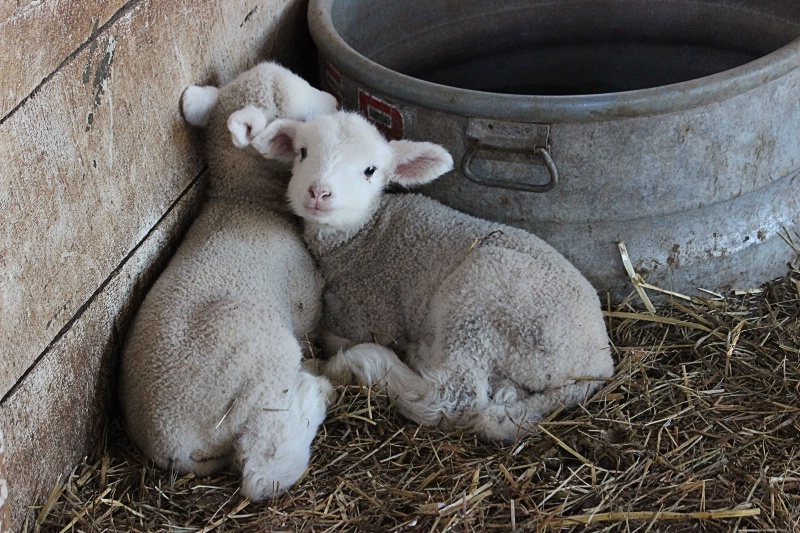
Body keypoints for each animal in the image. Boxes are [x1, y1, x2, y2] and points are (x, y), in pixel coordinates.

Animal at [119, 62, 338, 498]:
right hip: (261, 378)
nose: (337, 102)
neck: (244, 200)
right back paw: (317, 391)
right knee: (265, 468)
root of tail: (174, 443)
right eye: (304, 128)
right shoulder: (306, 300)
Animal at [236, 108, 612, 440]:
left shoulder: (371, 312)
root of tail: (597, 365)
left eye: (370, 170)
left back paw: (362, 363)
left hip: (481, 300)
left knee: (452, 397)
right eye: (302, 152)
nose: (319, 193)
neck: (361, 235)